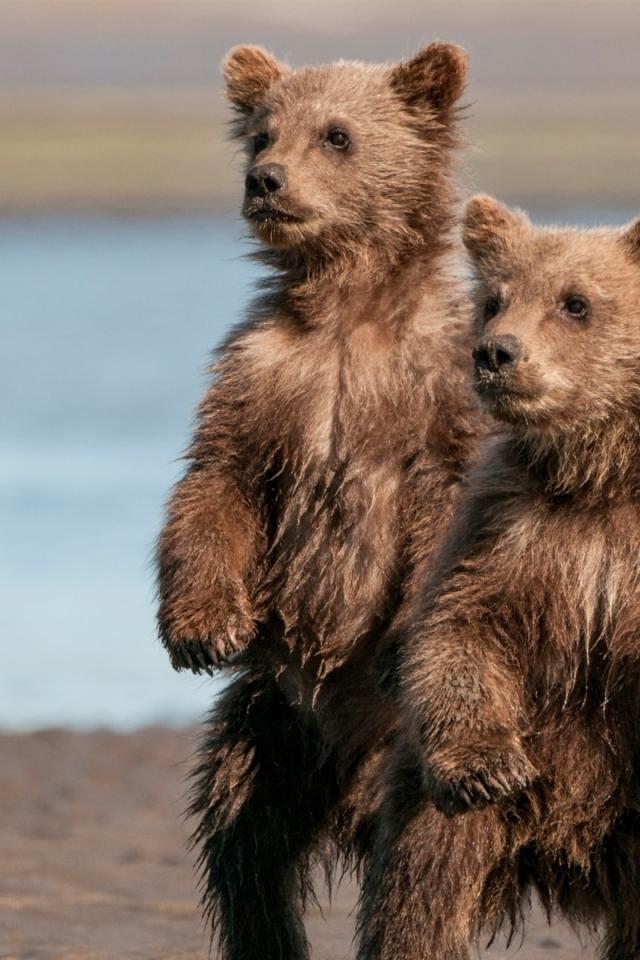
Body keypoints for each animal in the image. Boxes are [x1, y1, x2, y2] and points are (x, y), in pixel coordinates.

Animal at [156, 43, 484, 960]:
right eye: (264, 130)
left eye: (337, 134)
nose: (265, 179)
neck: (348, 304)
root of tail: (347, 795)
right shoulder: (265, 377)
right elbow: (217, 484)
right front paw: (202, 627)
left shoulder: (438, 390)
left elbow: (448, 509)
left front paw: (399, 643)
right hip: (271, 723)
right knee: (242, 841)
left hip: (413, 760)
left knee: (422, 864)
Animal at [358, 195, 640, 960]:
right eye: (494, 300)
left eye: (576, 302)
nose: (497, 353)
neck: (600, 478)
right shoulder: (510, 534)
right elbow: (461, 629)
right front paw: (487, 763)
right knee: (423, 885)